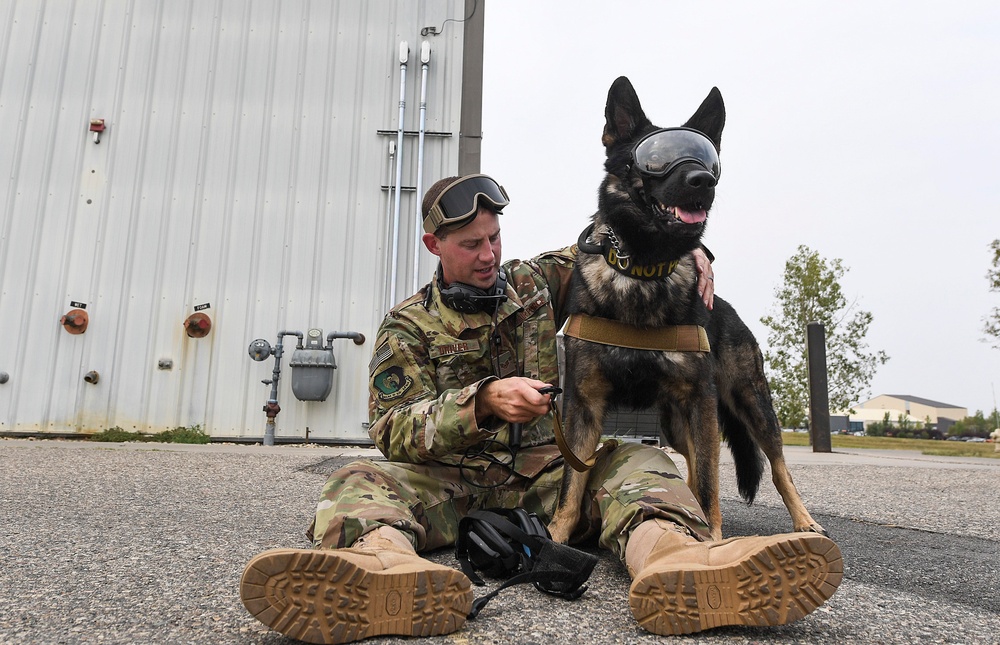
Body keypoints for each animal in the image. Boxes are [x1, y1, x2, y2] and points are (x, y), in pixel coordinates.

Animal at [548, 76, 828, 544]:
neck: (643, 270)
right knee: (697, 466)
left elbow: (713, 483)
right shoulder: (583, 404)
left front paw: (711, 541)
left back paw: (803, 520)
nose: (703, 180)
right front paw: (552, 537)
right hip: (678, 424)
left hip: (749, 403)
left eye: (707, 158)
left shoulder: (701, 399)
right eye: (655, 158)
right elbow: (571, 484)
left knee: (773, 465)